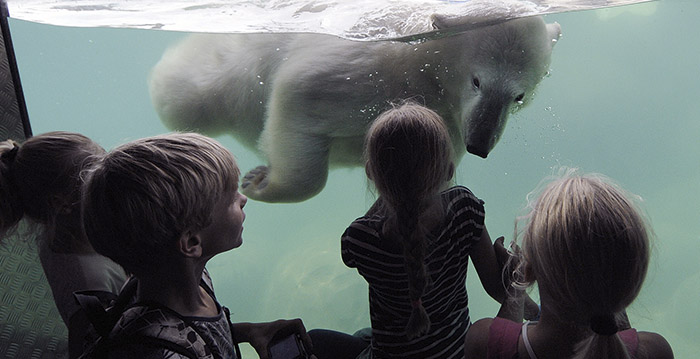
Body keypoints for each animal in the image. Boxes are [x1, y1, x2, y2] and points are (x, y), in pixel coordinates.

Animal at [149, 16, 564, 202]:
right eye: (478, 81)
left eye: (519, 95)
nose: (480, 144)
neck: (421, 66)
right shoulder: (365, 65)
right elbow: (300, 92)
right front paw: (259, 181)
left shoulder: (448, 117)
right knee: (190, 97)